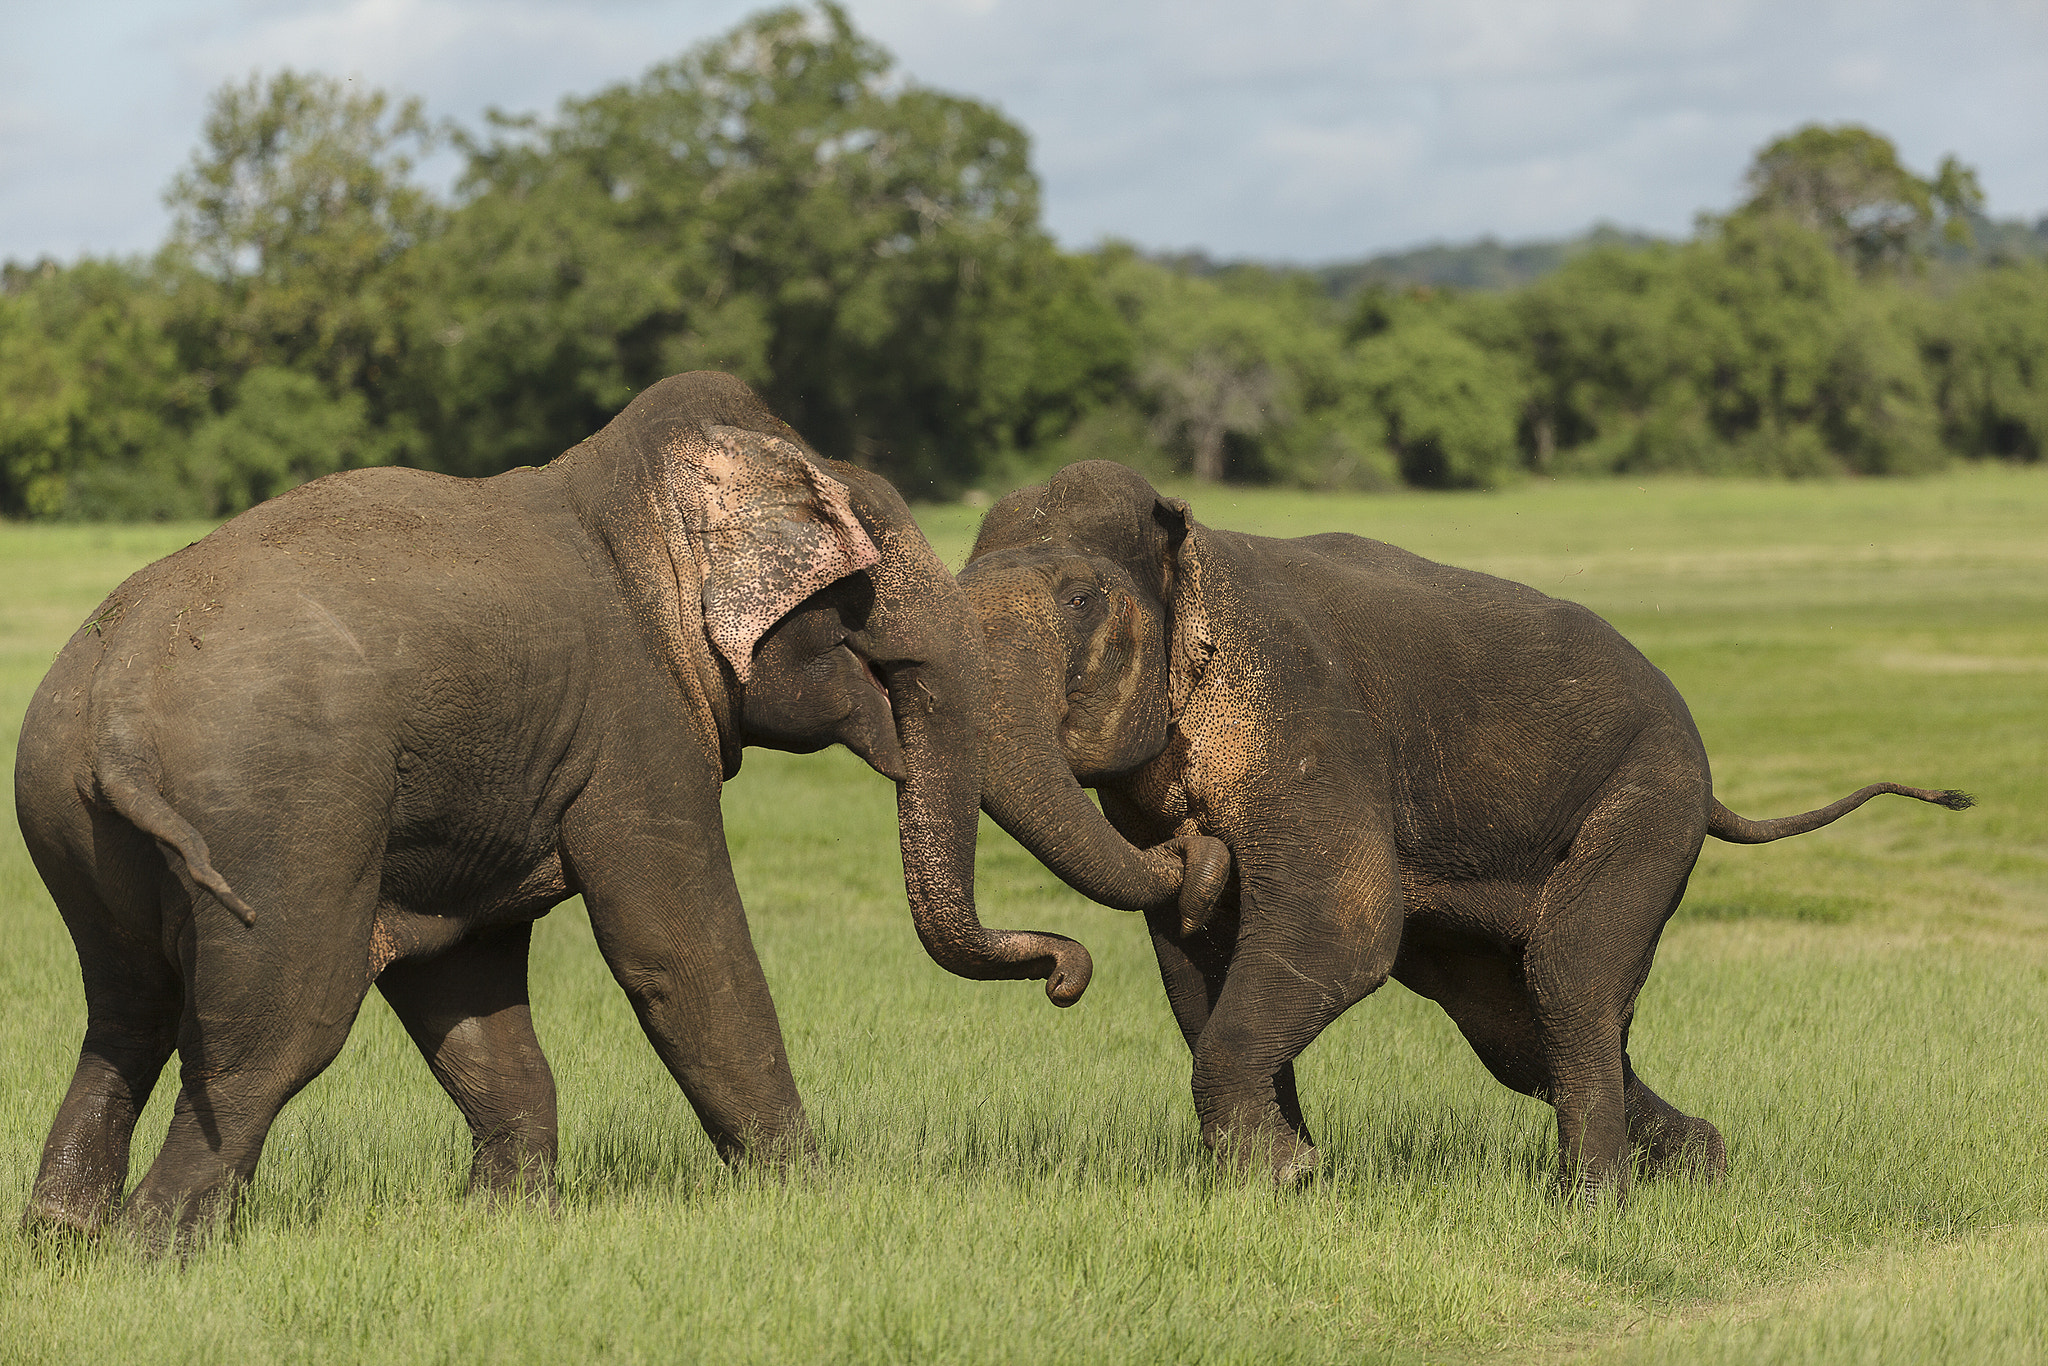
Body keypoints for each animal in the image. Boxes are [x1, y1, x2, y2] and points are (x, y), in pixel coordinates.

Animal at [12, 368, 1089, 1245]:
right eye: (879, 568)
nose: (1065, 979)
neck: (629, 502)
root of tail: (113, 698)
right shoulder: (636, 732)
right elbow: (676, 947)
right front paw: (810, 1202)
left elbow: (464, 983)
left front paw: (505, 1225)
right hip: (277, 817)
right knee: (271, 1034)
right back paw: (155, 1251)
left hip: (67, 821)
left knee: (126, 1013)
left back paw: (63, 1241)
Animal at [958, 464, 1966, 1204]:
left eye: (1080, 599)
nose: (1061, 979)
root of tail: (1713, 784)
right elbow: (1192, 956)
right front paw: (1287, 1180)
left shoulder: (1308, 719)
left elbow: (1342, 929)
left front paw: (1279, 1179)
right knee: (1518, 1034)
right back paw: (1701, 1168)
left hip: (1650, 802)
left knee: (1566, 976)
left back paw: (1595, 1205)